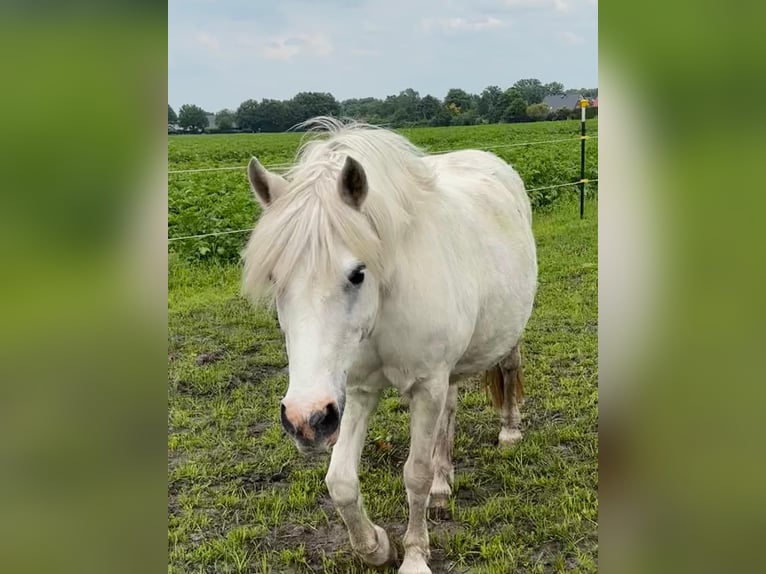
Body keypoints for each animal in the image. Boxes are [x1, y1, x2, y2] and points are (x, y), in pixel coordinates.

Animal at [243, 119, 536, 574]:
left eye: (357, 273)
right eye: (274, 278)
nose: (305, 419)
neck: (385, 308)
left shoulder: (425, 386)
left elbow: (414, 473)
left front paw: (414, 556)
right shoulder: (359, 391)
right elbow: (341, 481)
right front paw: (377, 546)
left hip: (506, 334)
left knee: (508, 369)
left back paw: (508, 432)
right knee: (450, 410)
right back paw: (442, 484)